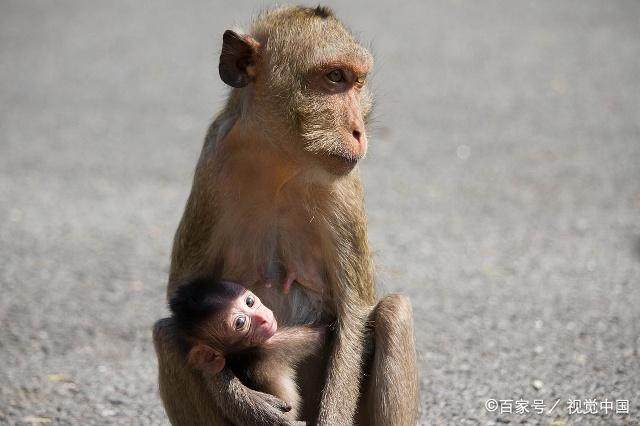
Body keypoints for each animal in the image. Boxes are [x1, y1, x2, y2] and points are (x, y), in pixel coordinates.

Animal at [169, 276, 324, 420]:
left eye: (249, 302)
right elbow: (318, 336)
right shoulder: (270, 346)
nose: (263, 318)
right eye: (240, 322)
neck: (240, 354)